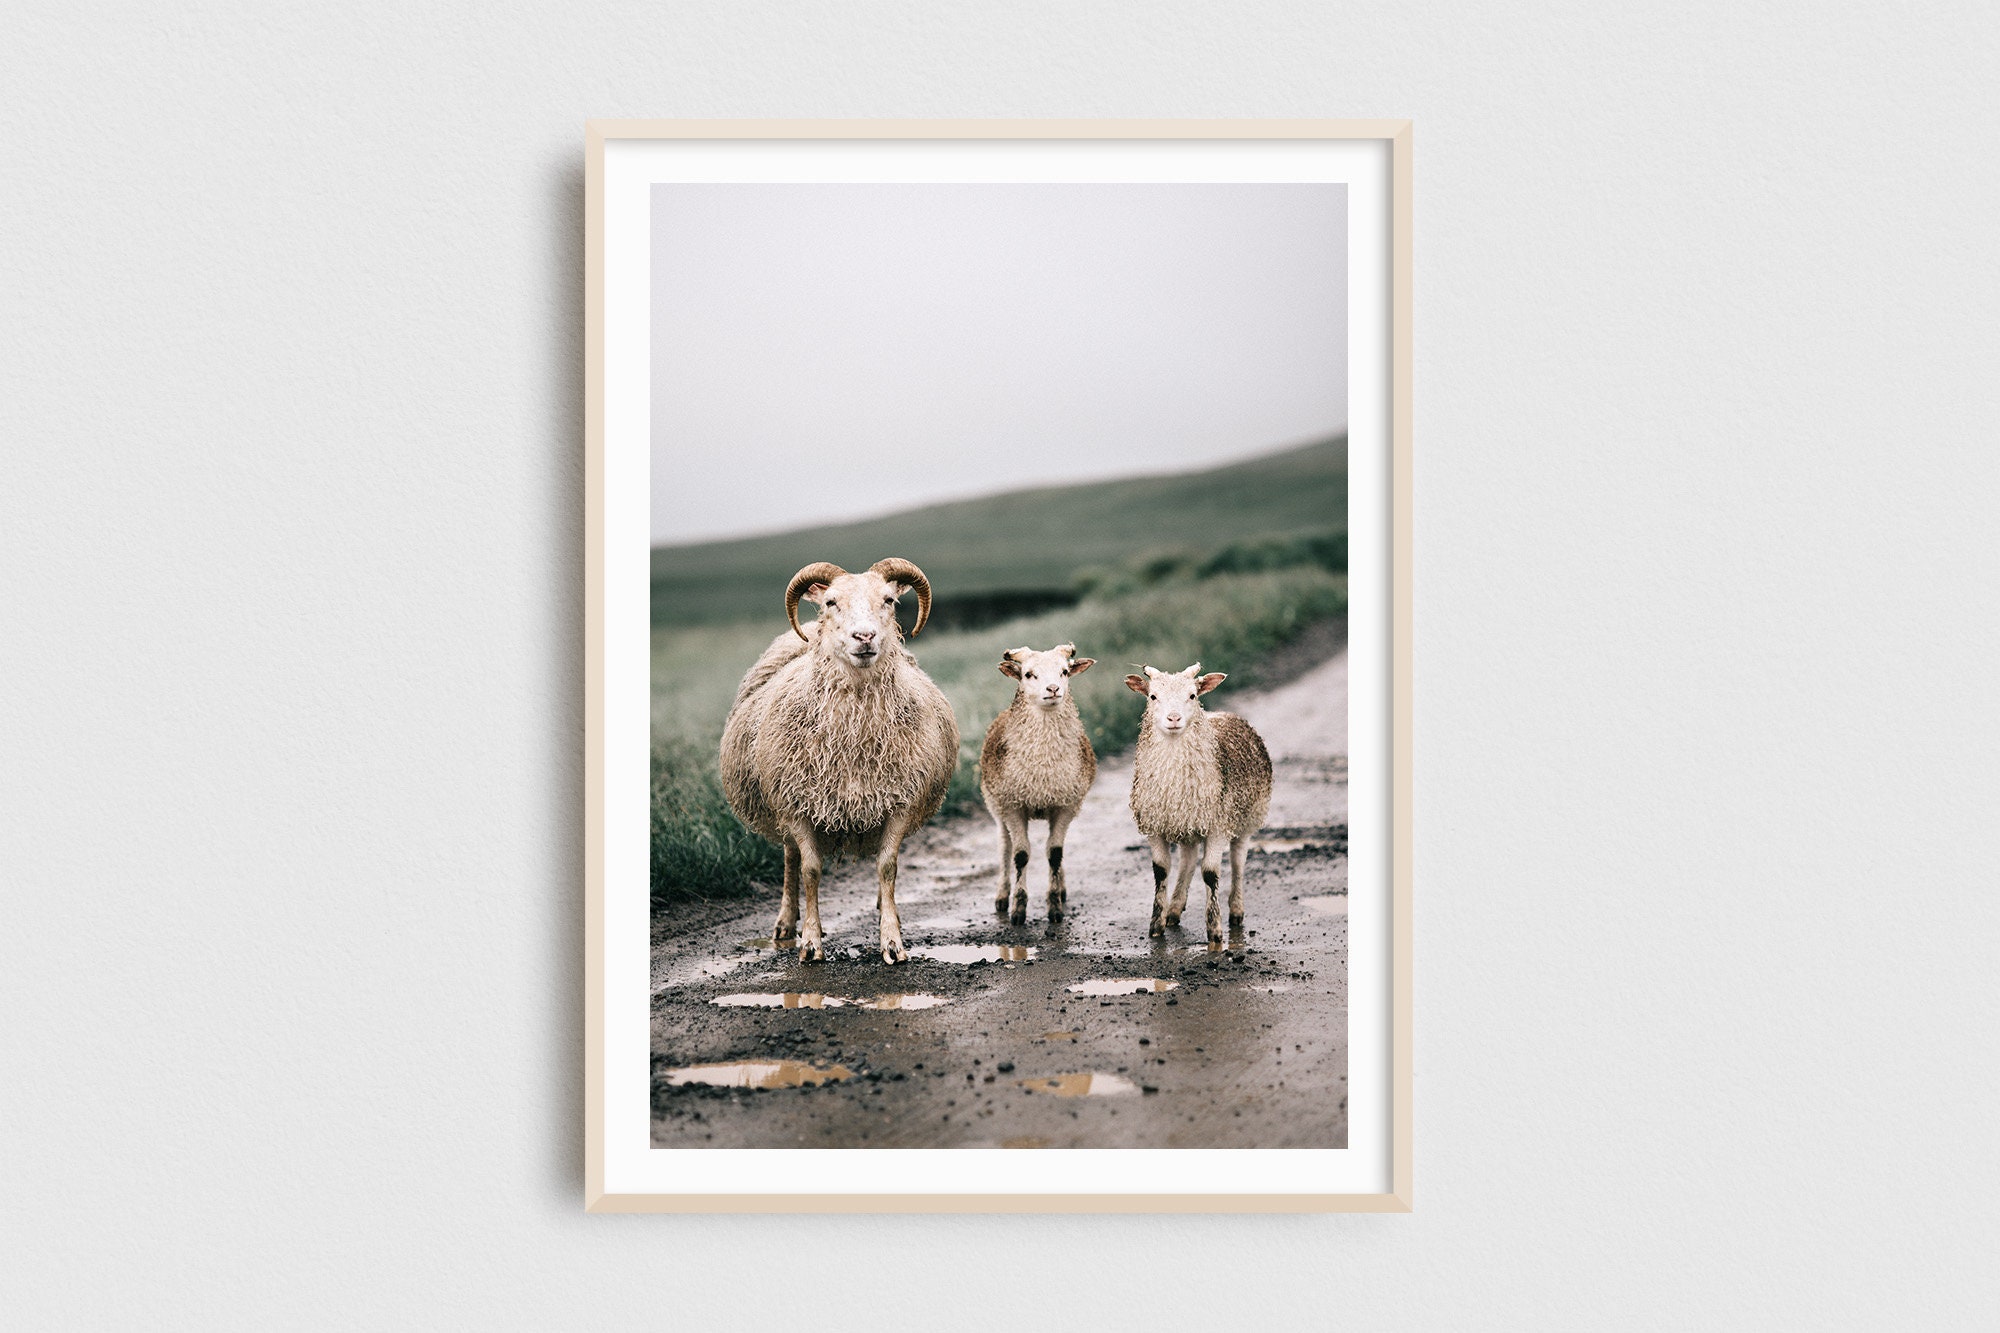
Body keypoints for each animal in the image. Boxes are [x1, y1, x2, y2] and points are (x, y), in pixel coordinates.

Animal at [719, 557, 960, 964]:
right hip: (781, 802)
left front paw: (891, 940)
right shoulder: (797, 805)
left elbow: (887, 867)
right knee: (790, 861)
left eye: (889, 600)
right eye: (831, 602)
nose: (864, 637)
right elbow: (811, 871)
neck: (853, 740)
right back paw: (786, 923)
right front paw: (811, 943)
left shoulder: (899, 801)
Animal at [979, 643, 1098, 925]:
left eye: (1064, 671)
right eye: (1028, 674)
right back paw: (1002, 896)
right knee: (1004, 847)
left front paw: (1054, 908)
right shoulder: (1013, 806)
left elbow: (1054, 853)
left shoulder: (1065, 806)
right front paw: (1018, 910)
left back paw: (1062, 890)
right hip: (996, 807)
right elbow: (1020, 855)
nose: (1053, 689)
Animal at [1125, 663, 1273, 943]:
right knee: (1188, 859)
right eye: (1153, 696)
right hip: (1188, 823)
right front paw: (1156, 925)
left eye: (1192, 696)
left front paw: (1214, 930)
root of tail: (1226, 714)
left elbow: (1210, 873)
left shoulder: (1218, 825)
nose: (1173, 718)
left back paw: (1236, 910)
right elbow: (1161, 870)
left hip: (1247, 818)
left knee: (1238, 860)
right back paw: (1174, 909)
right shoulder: (1155, 826)